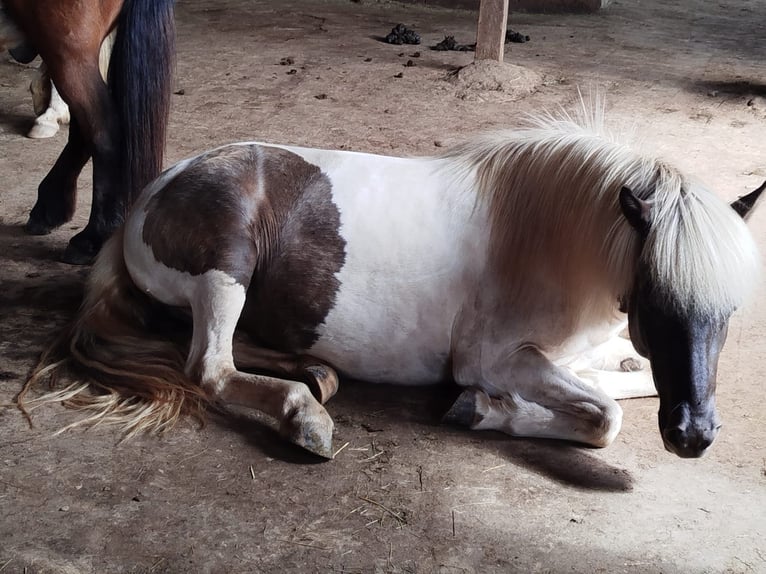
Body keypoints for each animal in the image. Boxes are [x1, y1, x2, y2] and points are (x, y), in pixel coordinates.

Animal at [21, 112, 764, 462]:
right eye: (657, 302)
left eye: (729, 311)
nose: (694, 436)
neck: (546, 237)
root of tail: (149, 197)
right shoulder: (498, 358)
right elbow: (605, 416)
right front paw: (485, 411)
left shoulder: (577, 355)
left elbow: (628, 377)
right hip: (226, 267)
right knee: (209, 366)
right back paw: (304, 414)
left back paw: (316, 376)